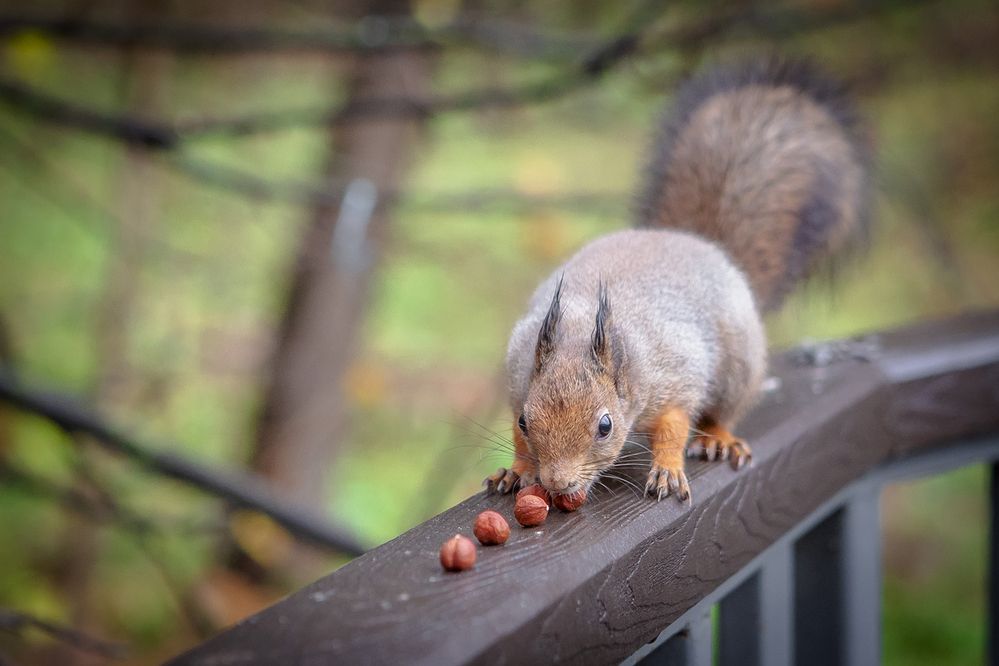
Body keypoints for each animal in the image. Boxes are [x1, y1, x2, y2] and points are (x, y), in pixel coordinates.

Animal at [485, 57, 871, 503]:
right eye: (527, 421)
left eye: (605, 426)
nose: (557, 483)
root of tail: (701, 245)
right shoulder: (519, 380)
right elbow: (516, 438)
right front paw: (516, 470)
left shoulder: (675, 375)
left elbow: (674, 425)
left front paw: (668, 469)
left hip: (739, 368)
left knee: (724, 409)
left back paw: (719, 437)